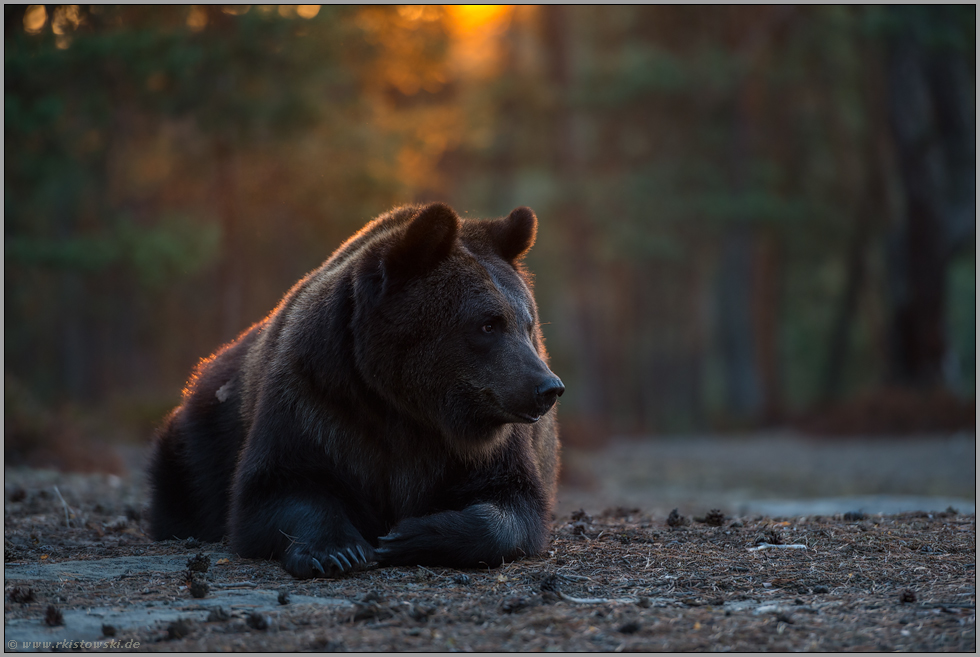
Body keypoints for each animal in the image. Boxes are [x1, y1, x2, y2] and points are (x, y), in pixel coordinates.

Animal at [144, 202, 560, 576]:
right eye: (488, 324)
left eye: (527, 324)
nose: (548, 387)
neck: (406, 405)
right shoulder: (318, 403)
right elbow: (277, 489)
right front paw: (335, 552)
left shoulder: (481, 445)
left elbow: (512, 504)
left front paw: (409, 534)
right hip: (204, 435)